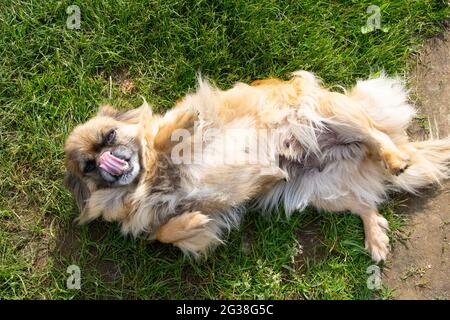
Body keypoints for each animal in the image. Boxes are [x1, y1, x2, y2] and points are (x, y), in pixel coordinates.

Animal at [64, 71, 450, 264]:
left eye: (110, 135)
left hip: (330, 114)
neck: (147, 179)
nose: (105, 160)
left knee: (374, 133)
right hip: (324, 192)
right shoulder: (204, 226)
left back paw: (395, 158)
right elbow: (165, 232)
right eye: (89, 166)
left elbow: (166, 133)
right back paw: (376, 240)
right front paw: (191, 220)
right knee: (368, 206)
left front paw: (182, 121)